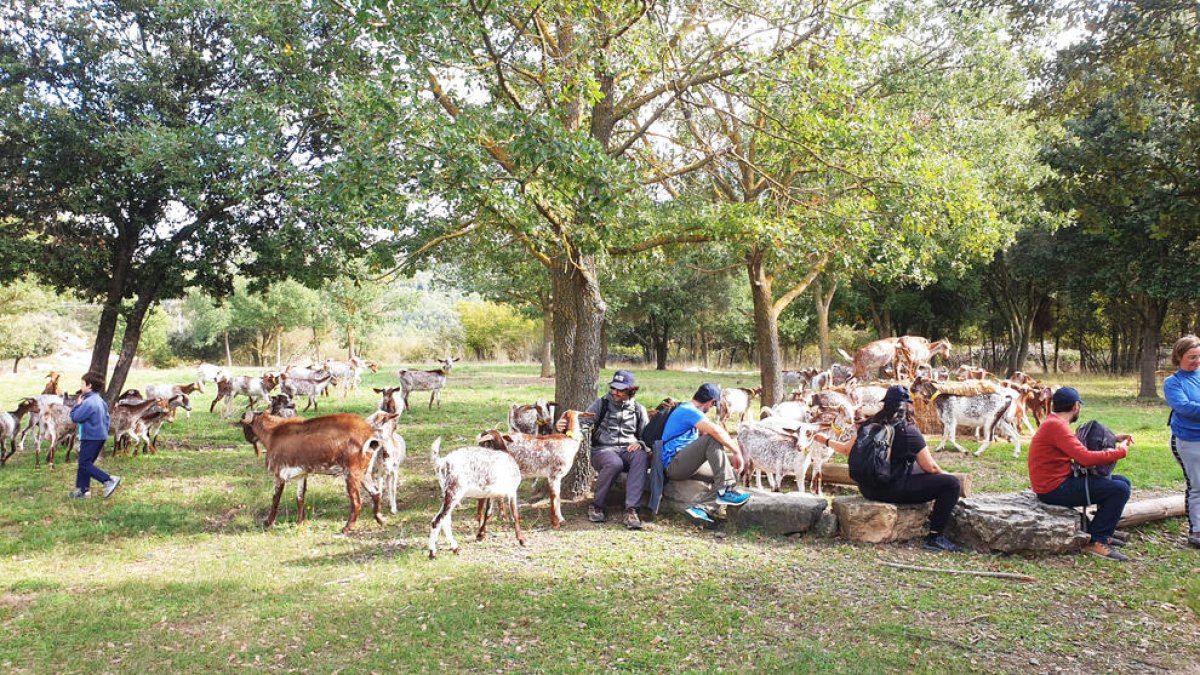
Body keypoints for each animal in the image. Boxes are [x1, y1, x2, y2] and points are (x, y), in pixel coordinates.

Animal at [240, 410, 398, 530]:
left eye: (244, 425)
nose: (247, 438)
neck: (273, 433)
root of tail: (369, 435)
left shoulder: (279, 474)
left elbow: (275, 500)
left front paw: (268, 522)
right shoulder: (302, 474)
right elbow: (300, 498)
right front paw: (300, 523)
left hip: (351, 473)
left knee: (357, 502)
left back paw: (347, 528)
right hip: (365, 473)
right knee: (376, 493)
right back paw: (380, 519)